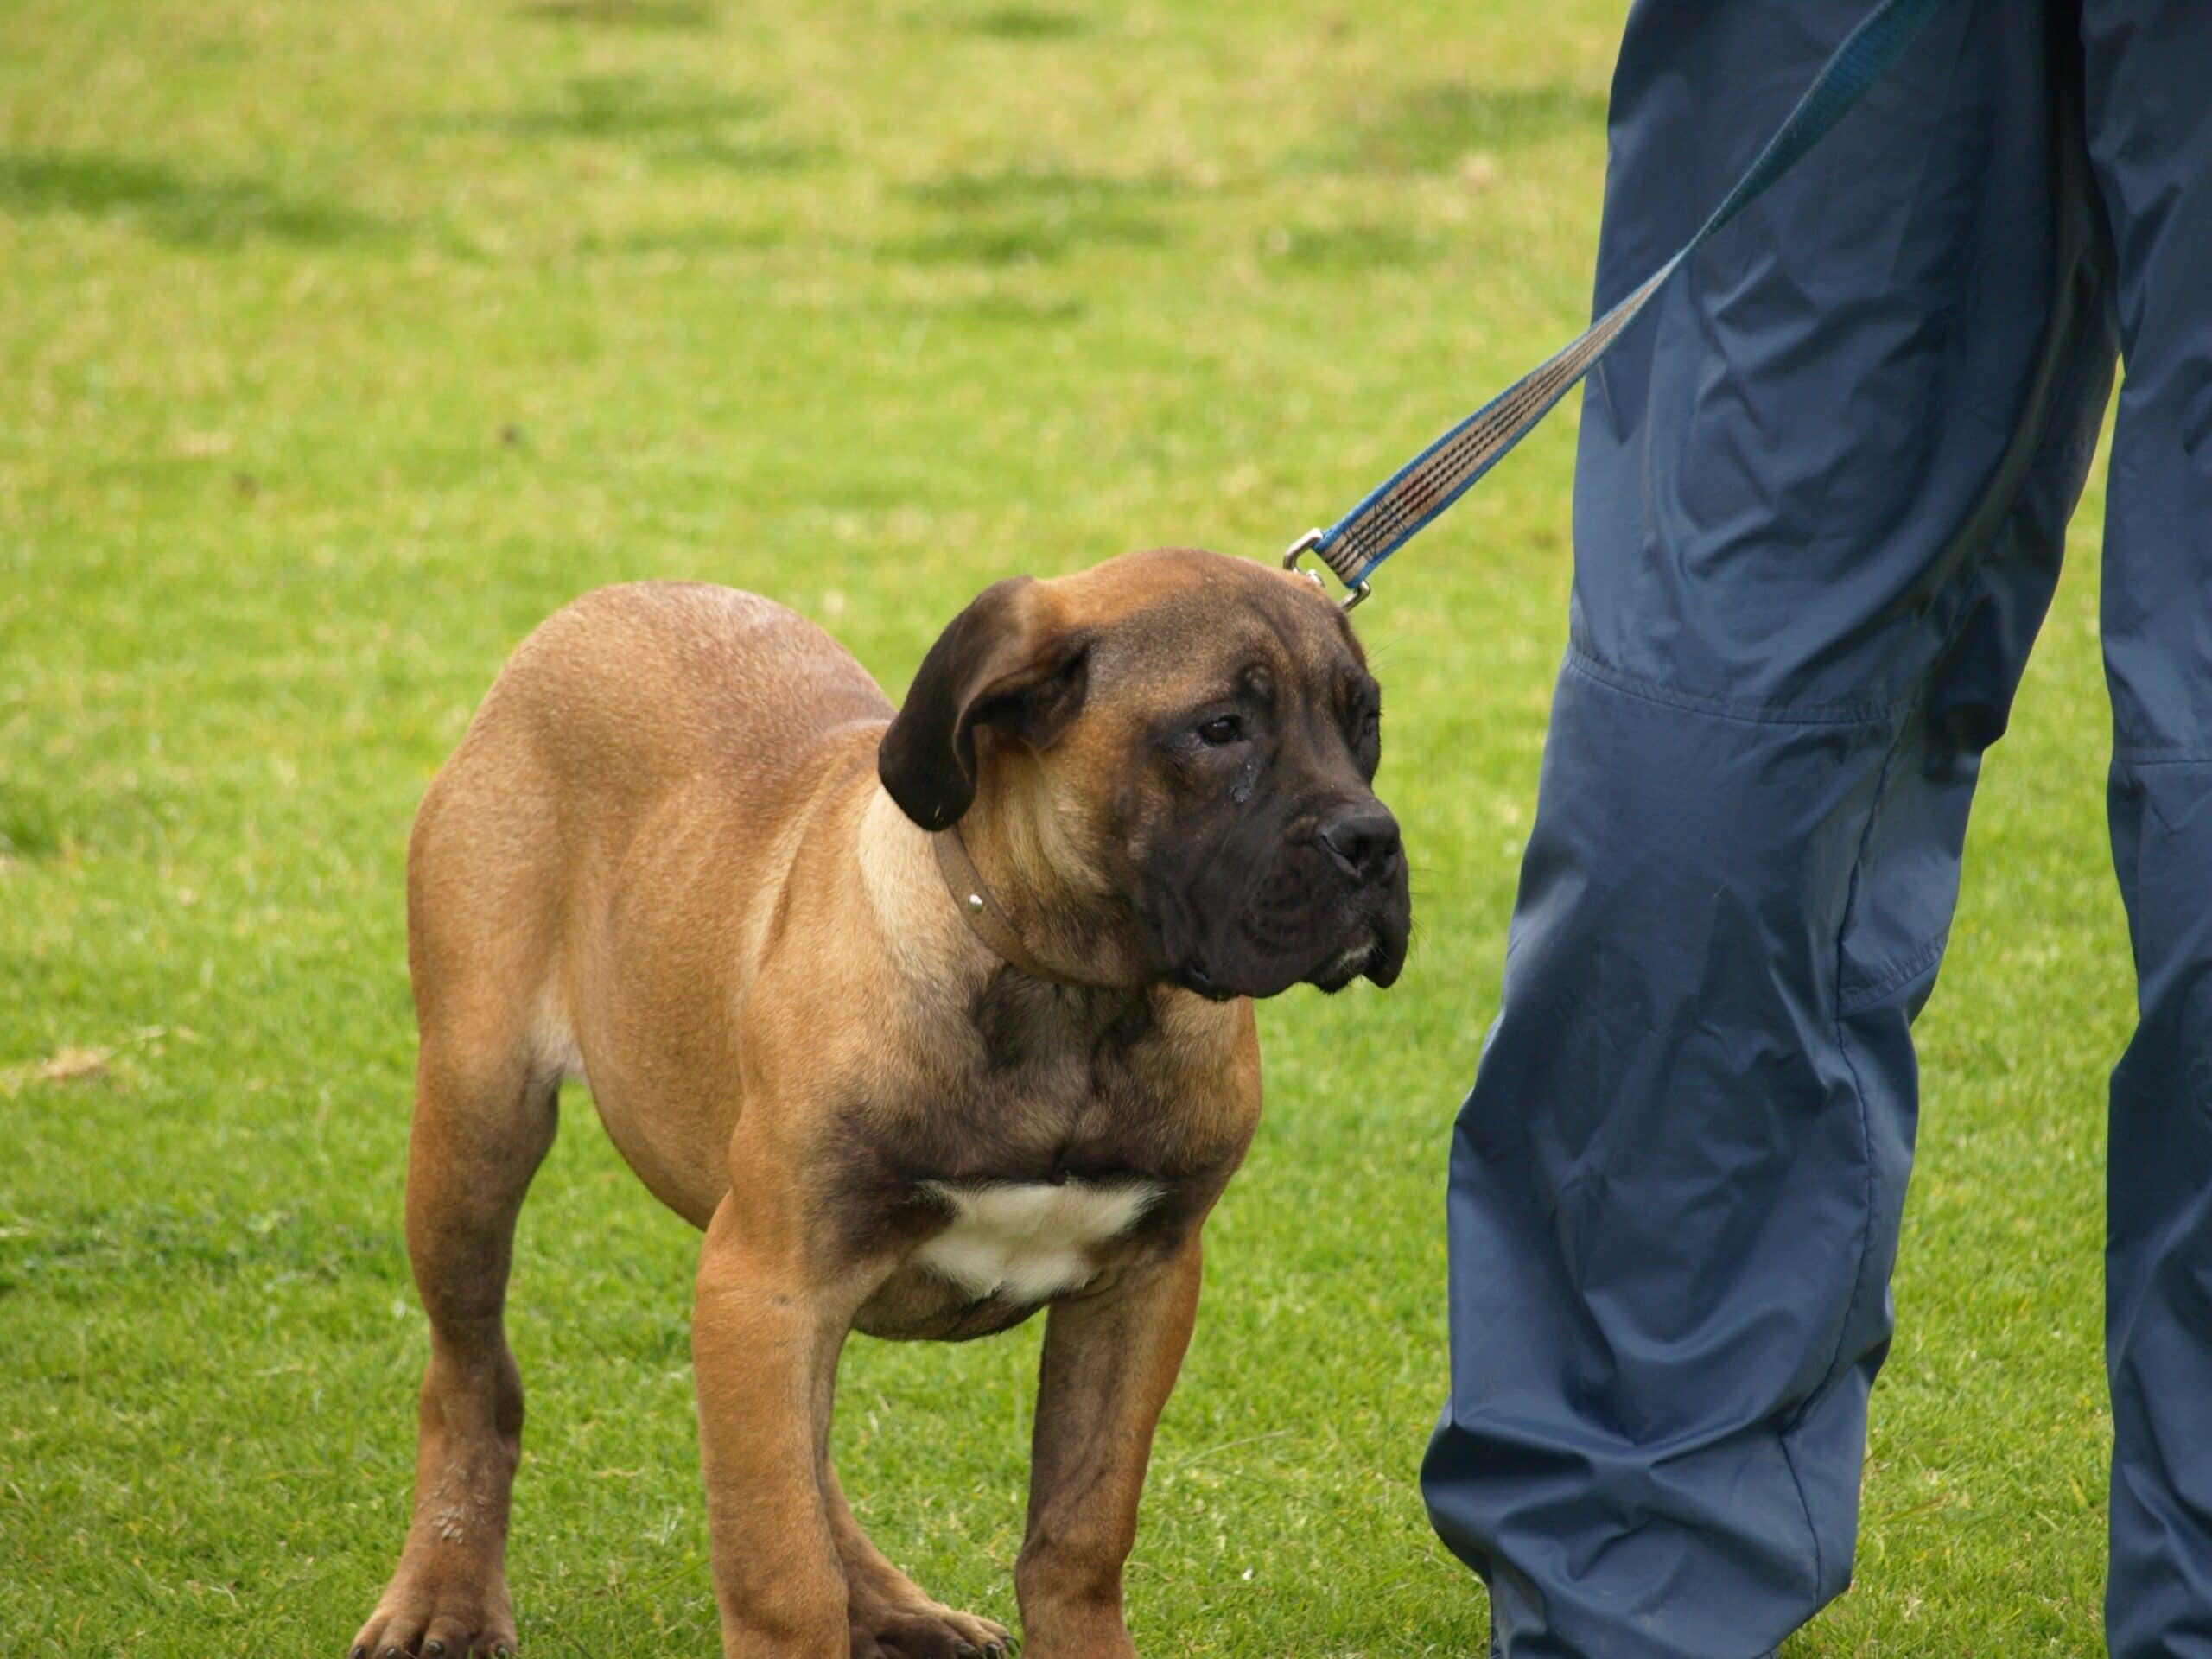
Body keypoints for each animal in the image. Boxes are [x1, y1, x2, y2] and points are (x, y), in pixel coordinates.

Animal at [353, 548, 1407, 1659]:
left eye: (1366, 720)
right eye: (1219, 728)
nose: (1372, 844)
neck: (1070, 999)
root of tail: (605, 602)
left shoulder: (1144, 1281)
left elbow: (1078, 1533)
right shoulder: (770, 1279)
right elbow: (778, 1570)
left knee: (803, 1460)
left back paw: (894, 1606)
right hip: (479, 1121)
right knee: (473, 1380)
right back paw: (445, 1597)